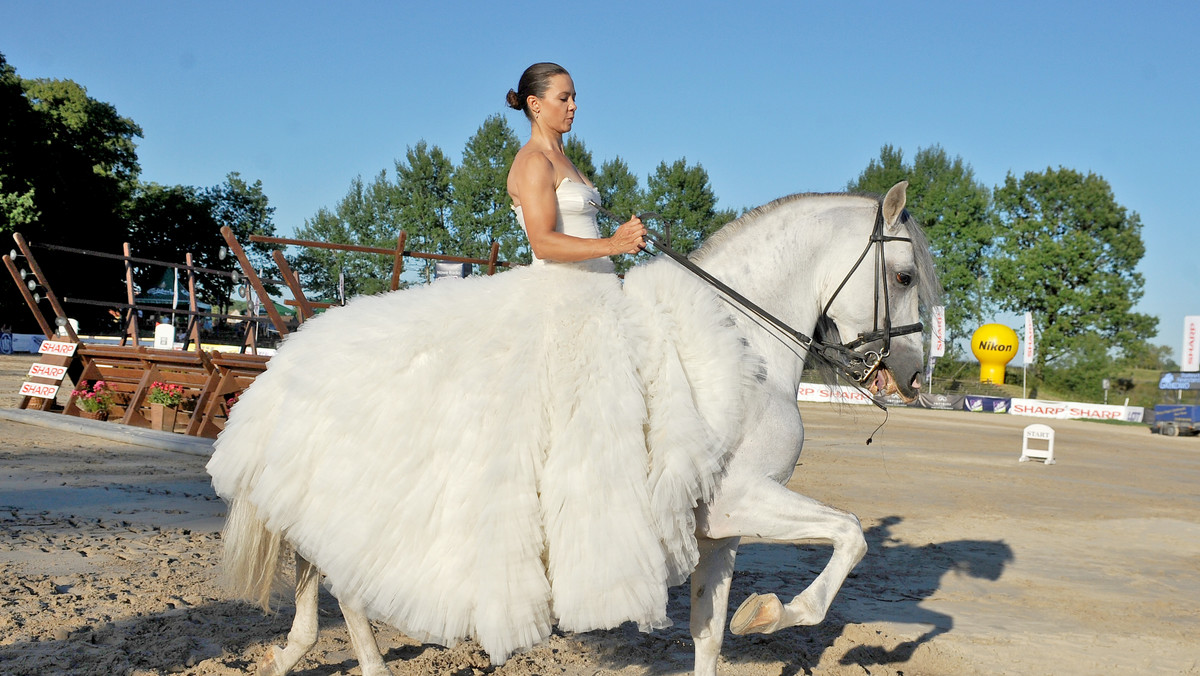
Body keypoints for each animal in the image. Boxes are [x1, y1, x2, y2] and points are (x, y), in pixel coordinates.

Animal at [206, 181, 936, 676]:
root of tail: (296, 349)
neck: (741, 340)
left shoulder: (720, 529)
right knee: (334, 572)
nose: (911, 375)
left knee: (329, 570)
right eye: (903, 276)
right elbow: (851, 535)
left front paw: (748, 616)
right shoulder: (743, 498)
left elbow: (708, 635)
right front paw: (772, 613)